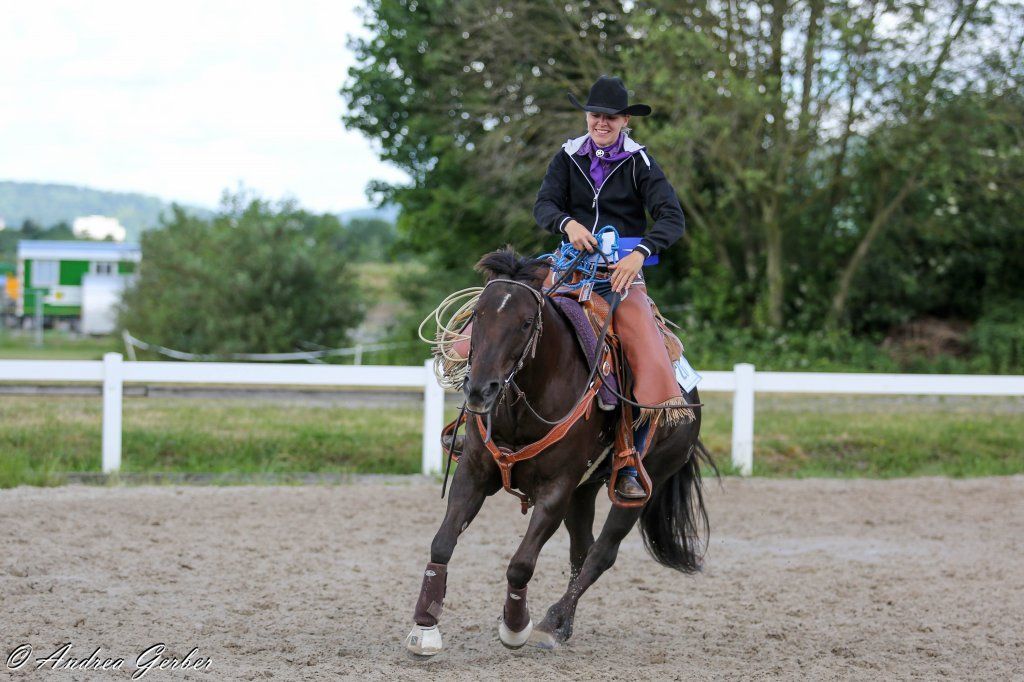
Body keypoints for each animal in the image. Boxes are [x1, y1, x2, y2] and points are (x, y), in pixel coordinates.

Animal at [405, 248, 713, 655]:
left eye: (525, 323)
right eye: (479, 314)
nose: (480, 390)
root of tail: (689, 393)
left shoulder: (556, 489)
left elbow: (521, 563)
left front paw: (515, 626)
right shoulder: (473, 472)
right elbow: (442, 543)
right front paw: (425, 627)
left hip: (640, 485)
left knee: (601, 553)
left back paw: (552, 622)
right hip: (584, 491)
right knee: (581, 551)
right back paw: (563, 624)